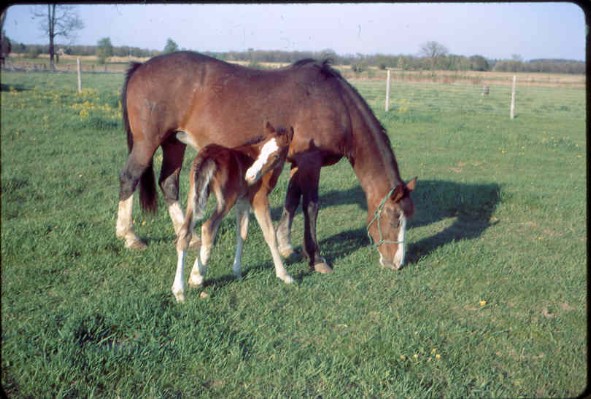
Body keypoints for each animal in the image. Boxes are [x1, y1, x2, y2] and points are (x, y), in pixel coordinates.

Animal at [173, 122, 296, 304]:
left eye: (275, 155)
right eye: (261, 151)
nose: (249, 175)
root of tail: (208, 156)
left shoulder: (242, 200)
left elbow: (242, 232)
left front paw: (237, 270)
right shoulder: (258, 199)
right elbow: (269, 234)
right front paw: (284, 275)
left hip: (193, 194)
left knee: (185, 233)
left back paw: (179, 290)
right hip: (225, 200)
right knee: (208, 227)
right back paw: (197, 278)